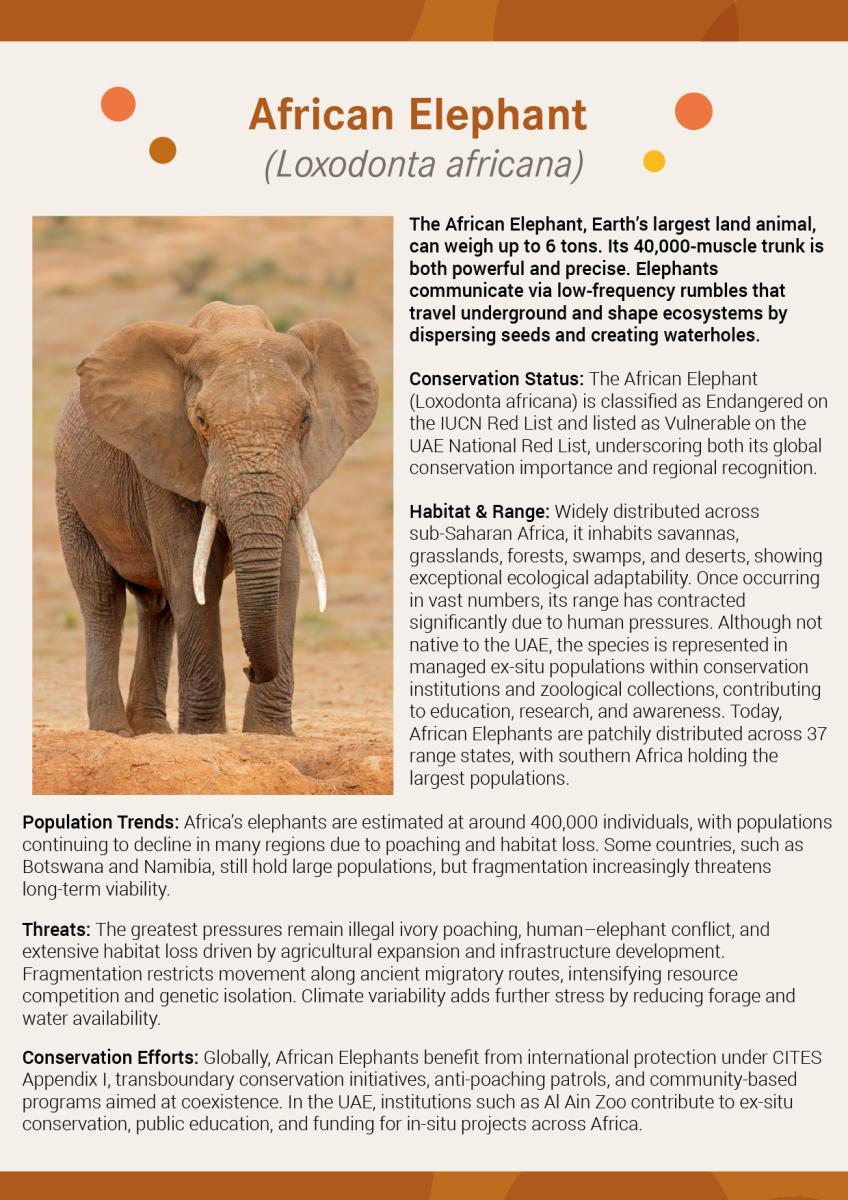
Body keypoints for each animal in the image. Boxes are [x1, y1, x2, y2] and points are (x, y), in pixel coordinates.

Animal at [54, 300, 378, 736]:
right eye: (202, 422)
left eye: (305, 420)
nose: (249, 668)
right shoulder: (161, 454)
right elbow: (192, 573)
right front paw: (205, 733)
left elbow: (284, 573)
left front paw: (267, 734)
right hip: (70, 495)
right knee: (102, 600)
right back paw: (115, 731)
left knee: (157, 608)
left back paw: (153, 732)